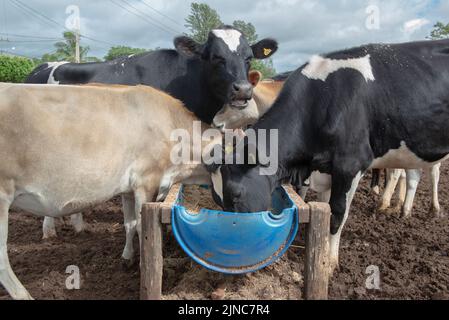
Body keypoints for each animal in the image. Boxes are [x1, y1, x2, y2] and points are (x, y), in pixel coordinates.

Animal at [208, 39, 448, 270]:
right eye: (218, 200)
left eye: (236, 195)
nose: (215, 122)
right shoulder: (323, 169)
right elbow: (324, 205)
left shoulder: (350, 164)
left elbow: (338, 213)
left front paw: (329, 261)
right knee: (414, 175)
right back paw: (404, 211)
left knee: (427, 173)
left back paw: (427, 208)